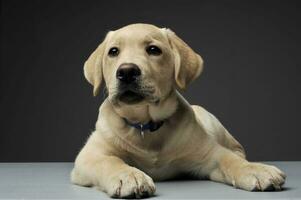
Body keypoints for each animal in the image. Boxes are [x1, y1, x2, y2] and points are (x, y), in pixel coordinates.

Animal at [69, 23, 284, 198]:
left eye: (153, 50)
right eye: (113, 51)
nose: (127, 71)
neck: (145, 125)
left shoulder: (210, 154)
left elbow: (229, 159)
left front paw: (255, 170)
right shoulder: (89, 156)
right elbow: (110, 161)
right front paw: (128, 176)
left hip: (214, 123)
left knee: (236, 149)